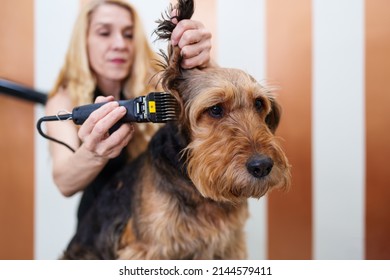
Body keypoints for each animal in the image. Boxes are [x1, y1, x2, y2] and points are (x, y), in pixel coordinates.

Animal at [62, 0, 290, 260]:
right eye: (215, 109)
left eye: (259, 104)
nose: (262, 166)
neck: (192, 183)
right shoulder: (149, 249)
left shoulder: (228, 245)